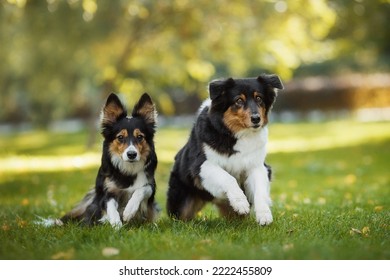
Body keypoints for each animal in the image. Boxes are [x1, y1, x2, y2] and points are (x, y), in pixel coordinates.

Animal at [167, 74, 284, 225]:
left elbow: (259, 190)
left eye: (259, 98)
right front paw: (240, 202)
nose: (256, 119)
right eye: (238, 100)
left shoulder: (257, 166)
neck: (237, 134)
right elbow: (228, 178)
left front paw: (264, 214)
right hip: (181, 204)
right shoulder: (201, 165)